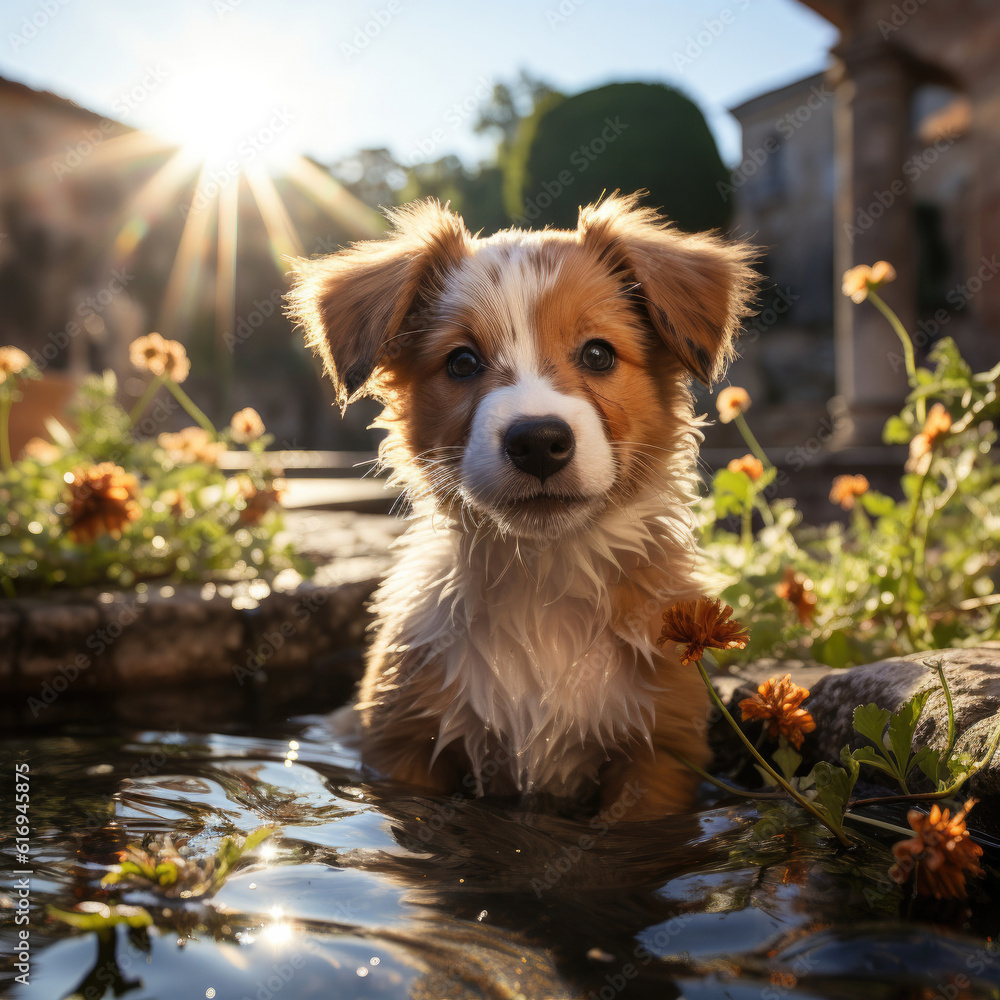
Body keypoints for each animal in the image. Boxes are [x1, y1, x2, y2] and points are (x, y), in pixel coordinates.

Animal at [290, 191, 756, 816]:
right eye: (462, 362)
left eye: (599, 354)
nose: (537, 440)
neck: (543, 584)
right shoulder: (402, 749)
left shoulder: (659, 760)